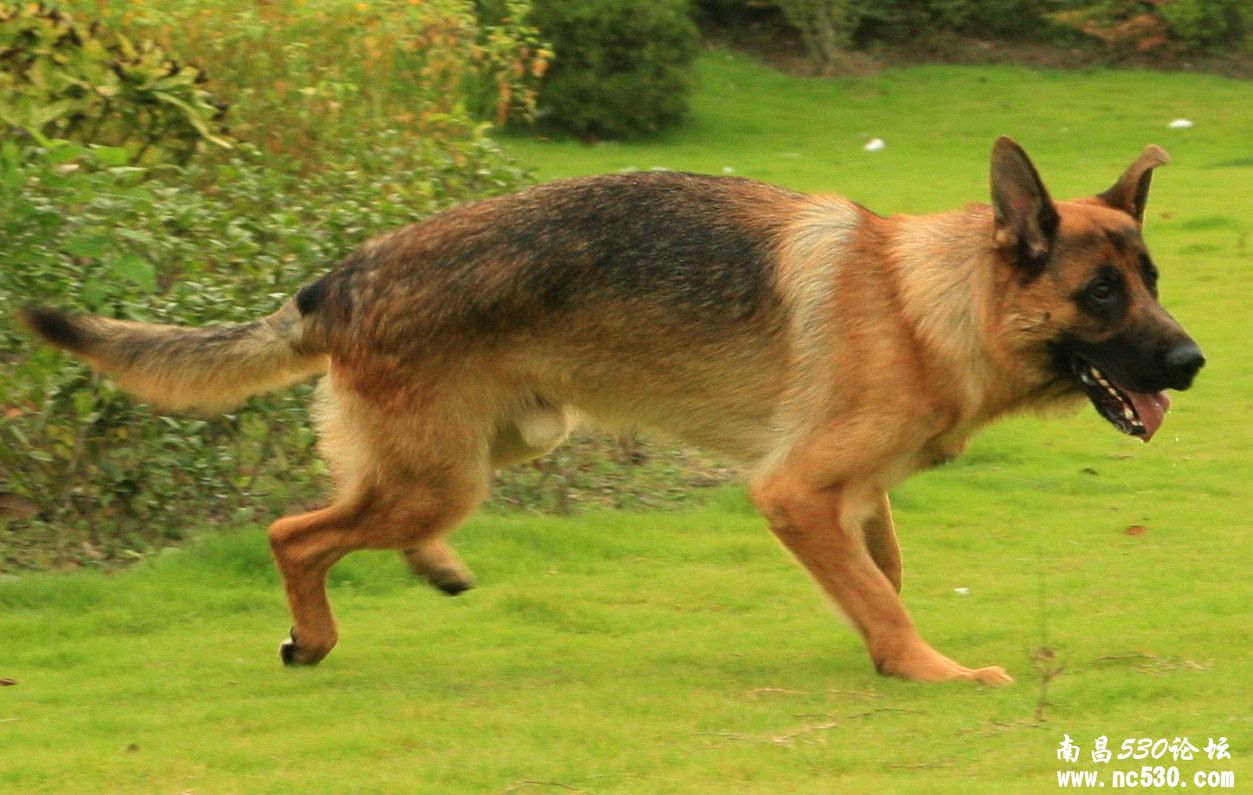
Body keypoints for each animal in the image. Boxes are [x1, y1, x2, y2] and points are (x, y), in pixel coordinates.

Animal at [22, 136, 1202, 682]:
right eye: (1102, 295)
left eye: (1149, 279)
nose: (1192, 361)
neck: (927, 300)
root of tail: (339, 279)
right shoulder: (797, 493)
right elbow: (884, 598)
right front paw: (929, 673)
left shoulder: (856, 498)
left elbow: (883, 582)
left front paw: (886, 651)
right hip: (441, 472)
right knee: (293, 531)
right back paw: (314, 638)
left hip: (493, 447)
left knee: (352, 517)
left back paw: (434, 567)